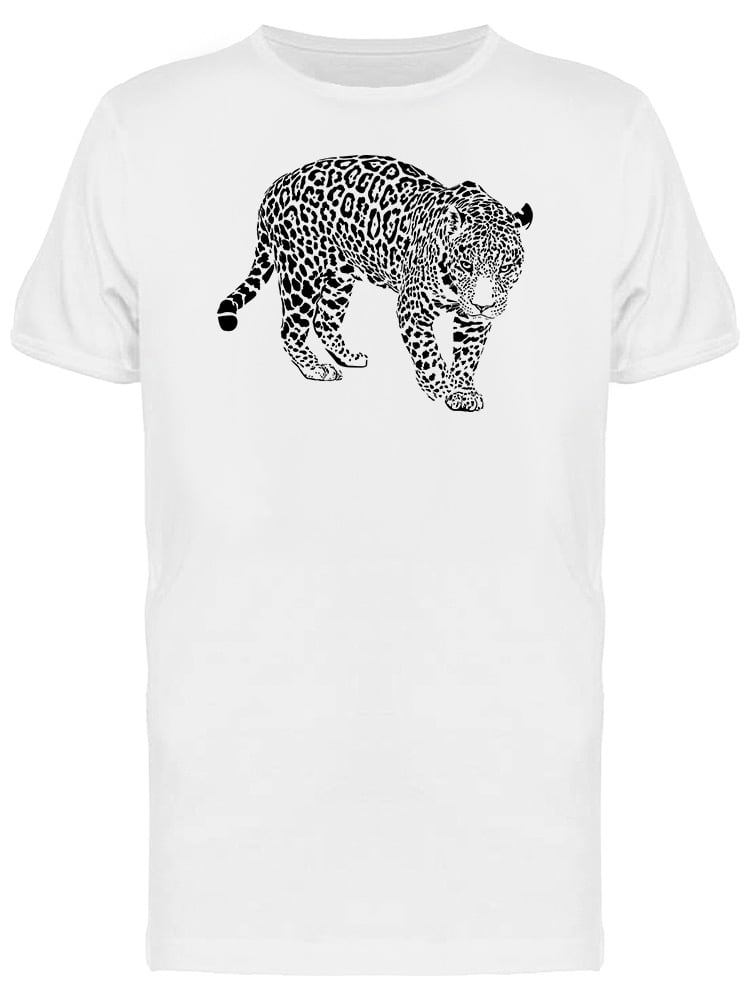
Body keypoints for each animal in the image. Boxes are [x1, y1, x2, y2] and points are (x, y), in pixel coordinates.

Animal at [217, 155, 532, 412]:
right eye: (467, 266)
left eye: (505, 267)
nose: (483, 305)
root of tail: (277, 185)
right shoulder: (413, 309)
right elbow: (429, 354)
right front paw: (439, 387)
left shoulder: (472, 320)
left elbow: (468, 355)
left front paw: (463, 391)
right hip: (301, 275)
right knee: (290, 330)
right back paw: (315, 368)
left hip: (339, 279)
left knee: (325, 321)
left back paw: (348, 357)